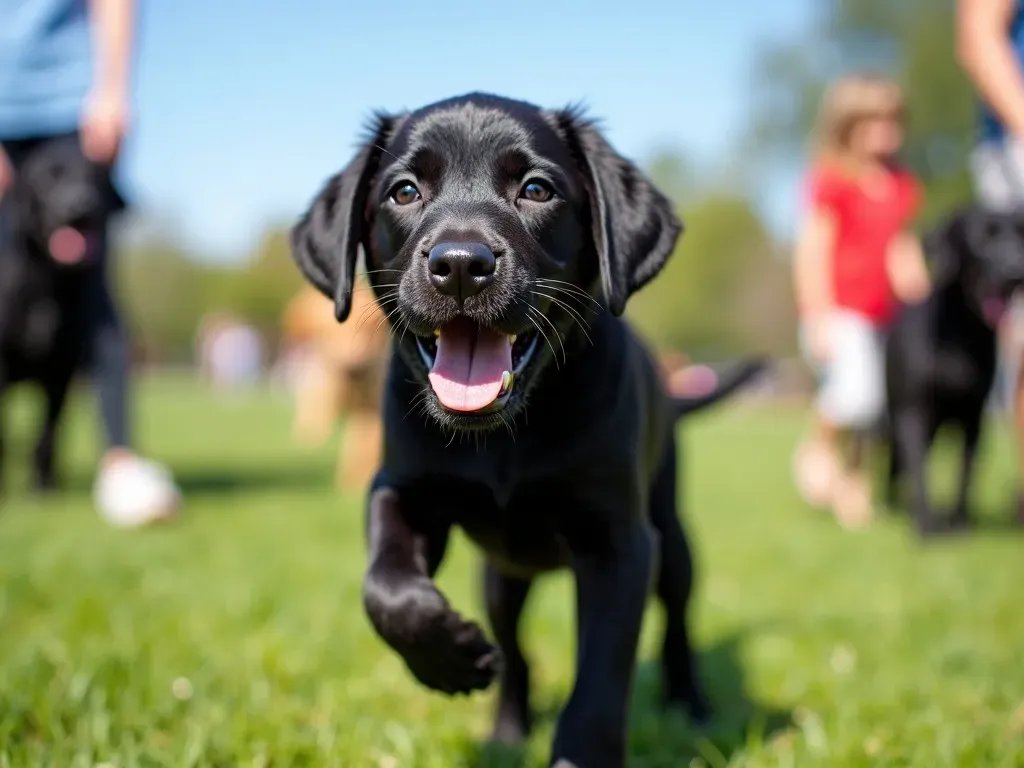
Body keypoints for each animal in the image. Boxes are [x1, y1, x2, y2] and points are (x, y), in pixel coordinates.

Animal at [0, 134, 124, 493]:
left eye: (92, 178)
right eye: (48, 178)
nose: (80, 204)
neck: (48, 282)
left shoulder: (61, 371)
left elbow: (47, 434)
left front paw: (43, 486)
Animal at [292, 94, 765, 768]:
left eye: (536, 189)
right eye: (404, 191)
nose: (461, 265)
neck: (503, 438)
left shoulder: (621, 544)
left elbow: (600, 681)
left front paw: (579, 757)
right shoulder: (400, 491)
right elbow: (384, 586)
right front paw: (449, 660)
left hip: (671, 538)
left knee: (677, 623)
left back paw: (691, 706)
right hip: (501, 576)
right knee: (516, 653)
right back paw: (507, 726)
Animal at [884, 207, 1024, 536]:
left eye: (1021, 235)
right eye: (983, 238)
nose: (1016, 271)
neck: (962, 333)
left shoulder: (973, 416)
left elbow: (965, 472)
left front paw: (959, 523)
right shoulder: (912, 411)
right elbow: (919, 471)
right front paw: (926, 526)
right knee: (898, 462)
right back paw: (891, 503)